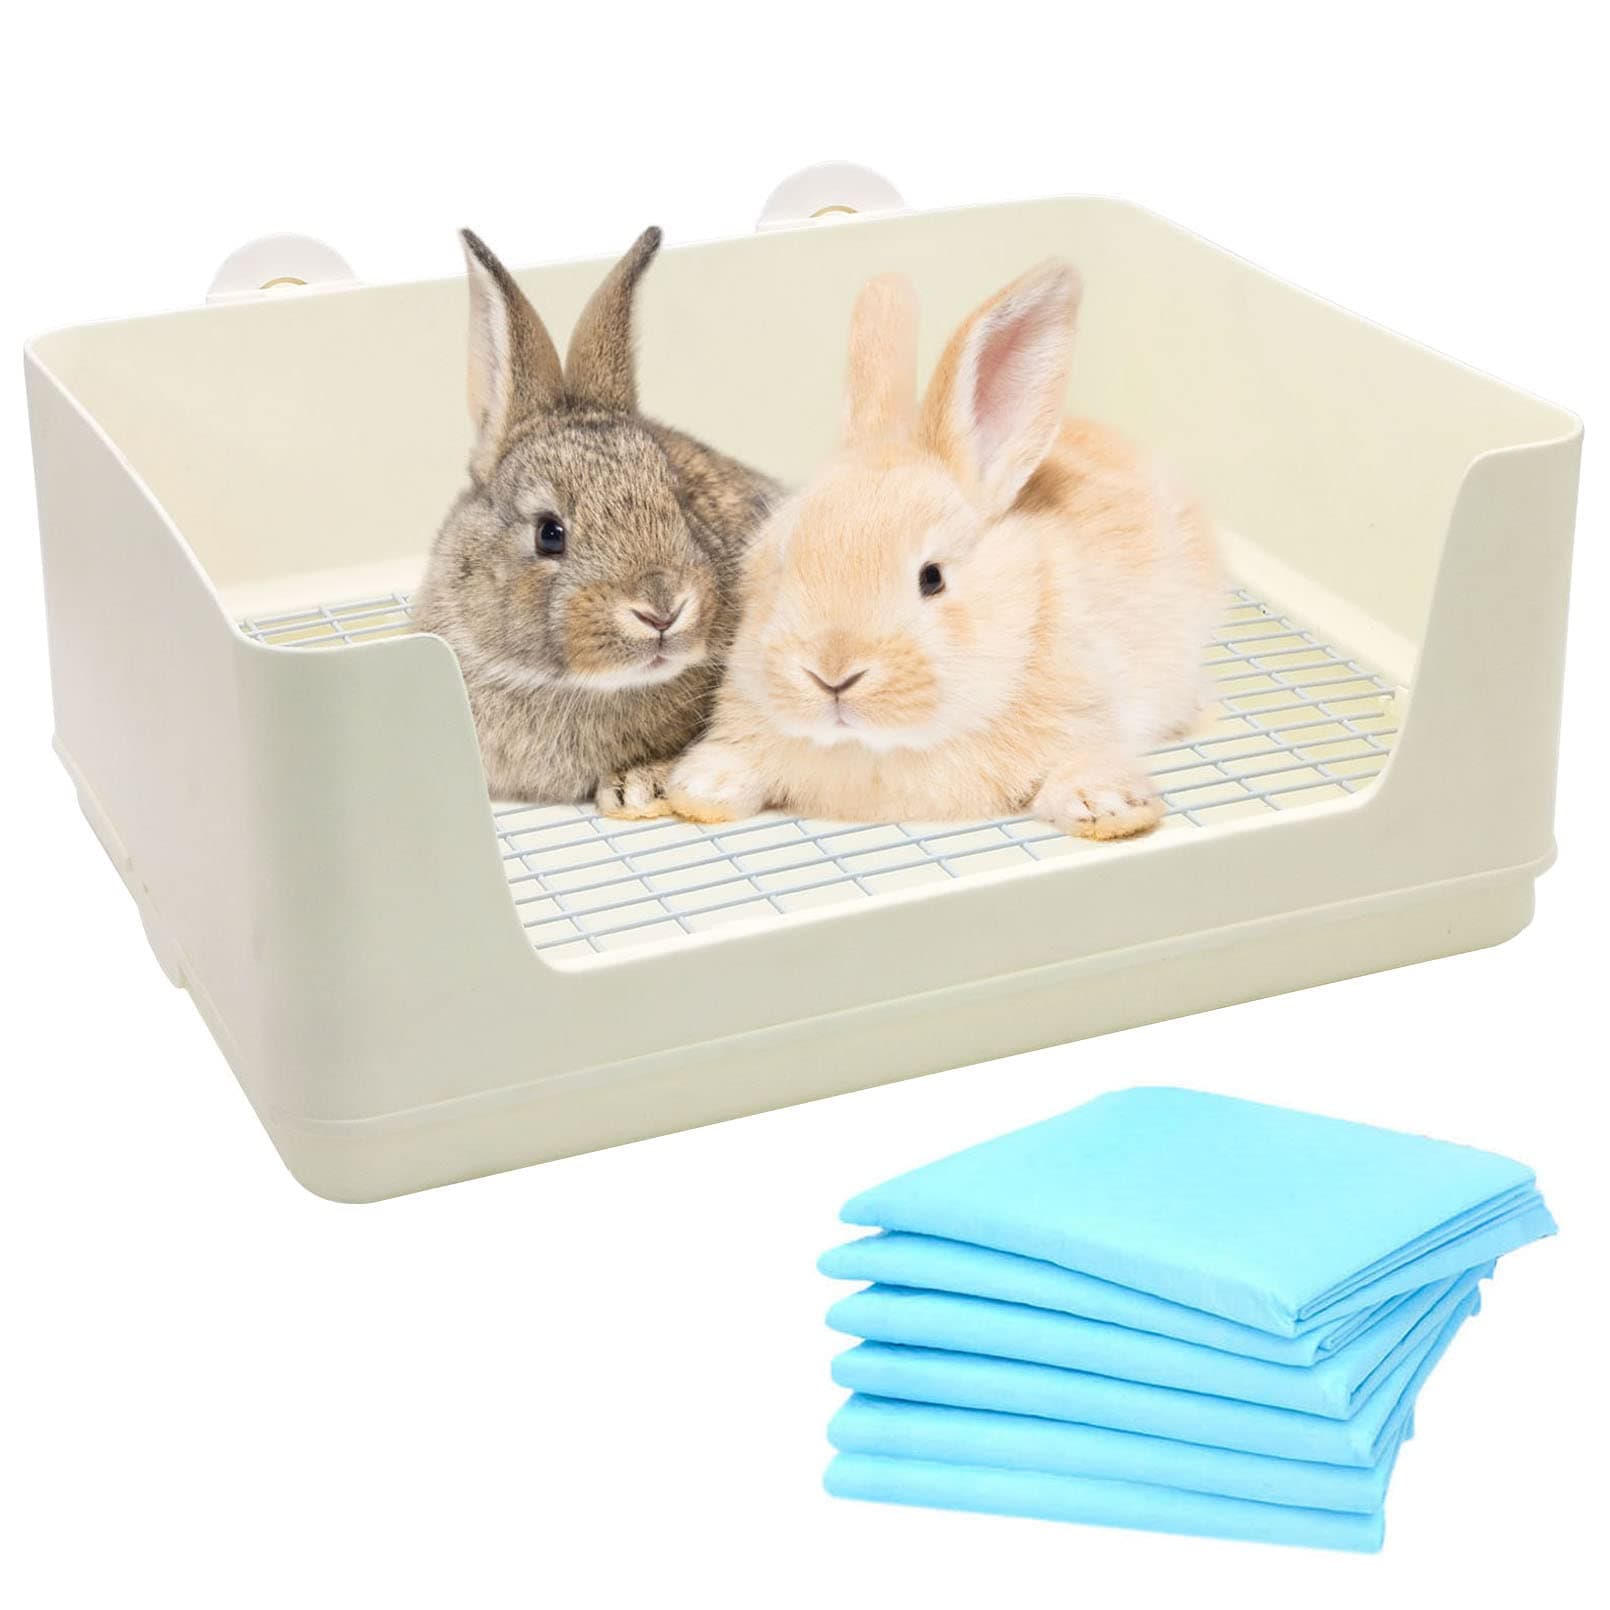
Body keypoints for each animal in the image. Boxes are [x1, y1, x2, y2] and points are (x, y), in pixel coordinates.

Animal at [660, 261, 1222, 840]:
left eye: (932, 577)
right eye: (781, 567)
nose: (832, 674)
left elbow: (1083, 761)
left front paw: (1108, 807)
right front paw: (704, 787)